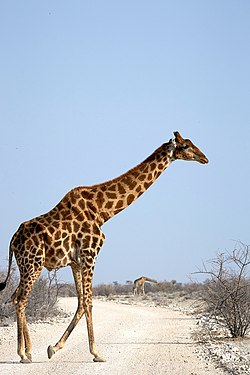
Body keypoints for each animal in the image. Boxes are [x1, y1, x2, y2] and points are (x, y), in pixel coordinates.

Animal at [0, 132, 208, 364]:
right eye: (186, 146)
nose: (205, 158)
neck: (102, 211)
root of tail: (13, 239)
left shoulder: (76, 261)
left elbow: (81, 302)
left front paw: (54, 347)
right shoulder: (90, 253)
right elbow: (89, 302)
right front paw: (97, 353)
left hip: (25, 265)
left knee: (15, 297)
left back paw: (26, 351)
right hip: (33, 263)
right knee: (20, 299)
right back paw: (24, 353)